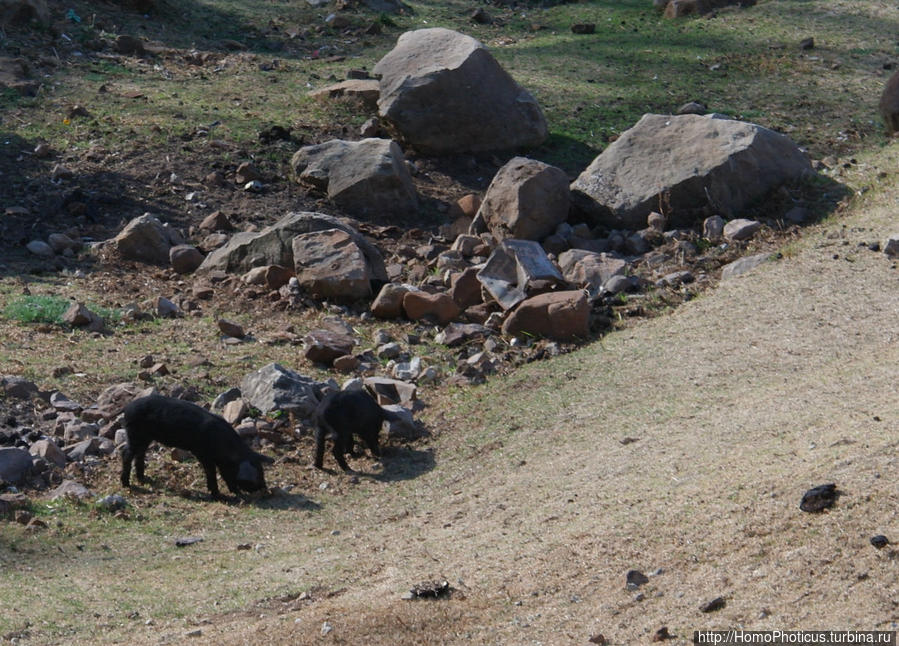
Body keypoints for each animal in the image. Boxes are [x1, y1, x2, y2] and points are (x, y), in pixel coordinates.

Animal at [121, 394, 272, 502]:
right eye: (258, 474)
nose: (266, 491)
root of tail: (127, 409)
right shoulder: (203, 454)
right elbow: (211, 473)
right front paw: (219, 496)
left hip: (145, 438)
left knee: (140, 454)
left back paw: (144, 479)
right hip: (135, 434)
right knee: (126, 454)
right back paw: (126, 484)